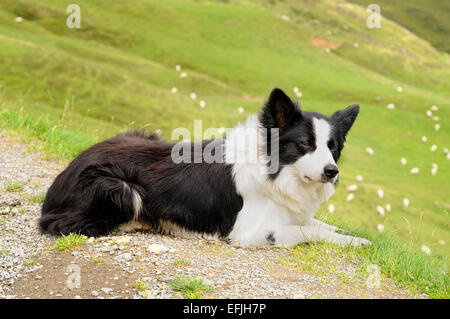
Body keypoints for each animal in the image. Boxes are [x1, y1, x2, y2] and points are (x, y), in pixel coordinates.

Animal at [39, 89, 370, 249]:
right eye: (304, 143)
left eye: (333, 147)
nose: (332, 171)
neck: (274, 169)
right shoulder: (246, 233)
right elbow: (307, 230)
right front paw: (356, 243)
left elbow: (320, 225)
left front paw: (357, 238)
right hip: (121, 190)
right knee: (63, 224)